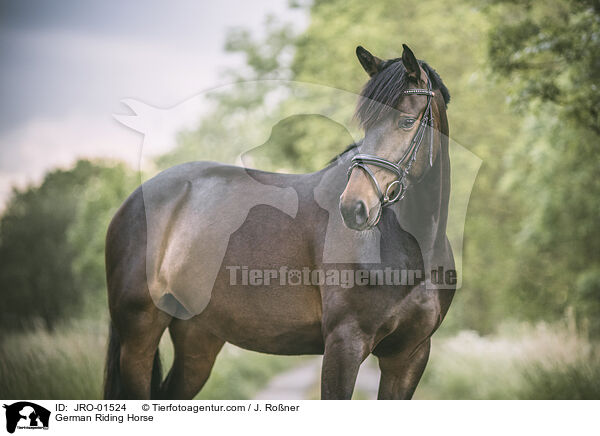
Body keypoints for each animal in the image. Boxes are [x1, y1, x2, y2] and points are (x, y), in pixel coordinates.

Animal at [103, 43, 452, 398]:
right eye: (367, 126)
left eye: (406, 121)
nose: (354, 206)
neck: (413, 247)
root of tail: (135, 199)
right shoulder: (344, 344)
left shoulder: (409, 356)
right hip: (138, 338)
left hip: (197, 340)